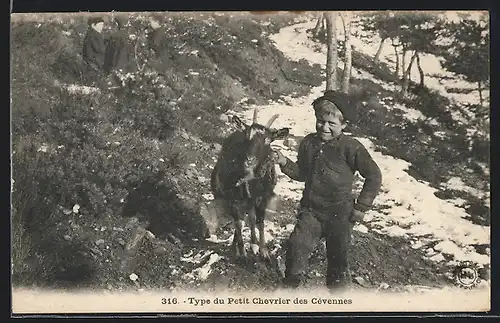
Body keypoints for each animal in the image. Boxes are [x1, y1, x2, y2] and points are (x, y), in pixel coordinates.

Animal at [211, 110, 290, 262]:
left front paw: (264, 252)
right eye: (247, 135)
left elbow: (260, 222)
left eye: (268, 140)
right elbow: (238, 224)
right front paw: (241, 252)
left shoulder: (263, 198)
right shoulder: (232, 198)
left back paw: (253, 243)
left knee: (252, 218)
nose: (250, 160)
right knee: (243, 219)